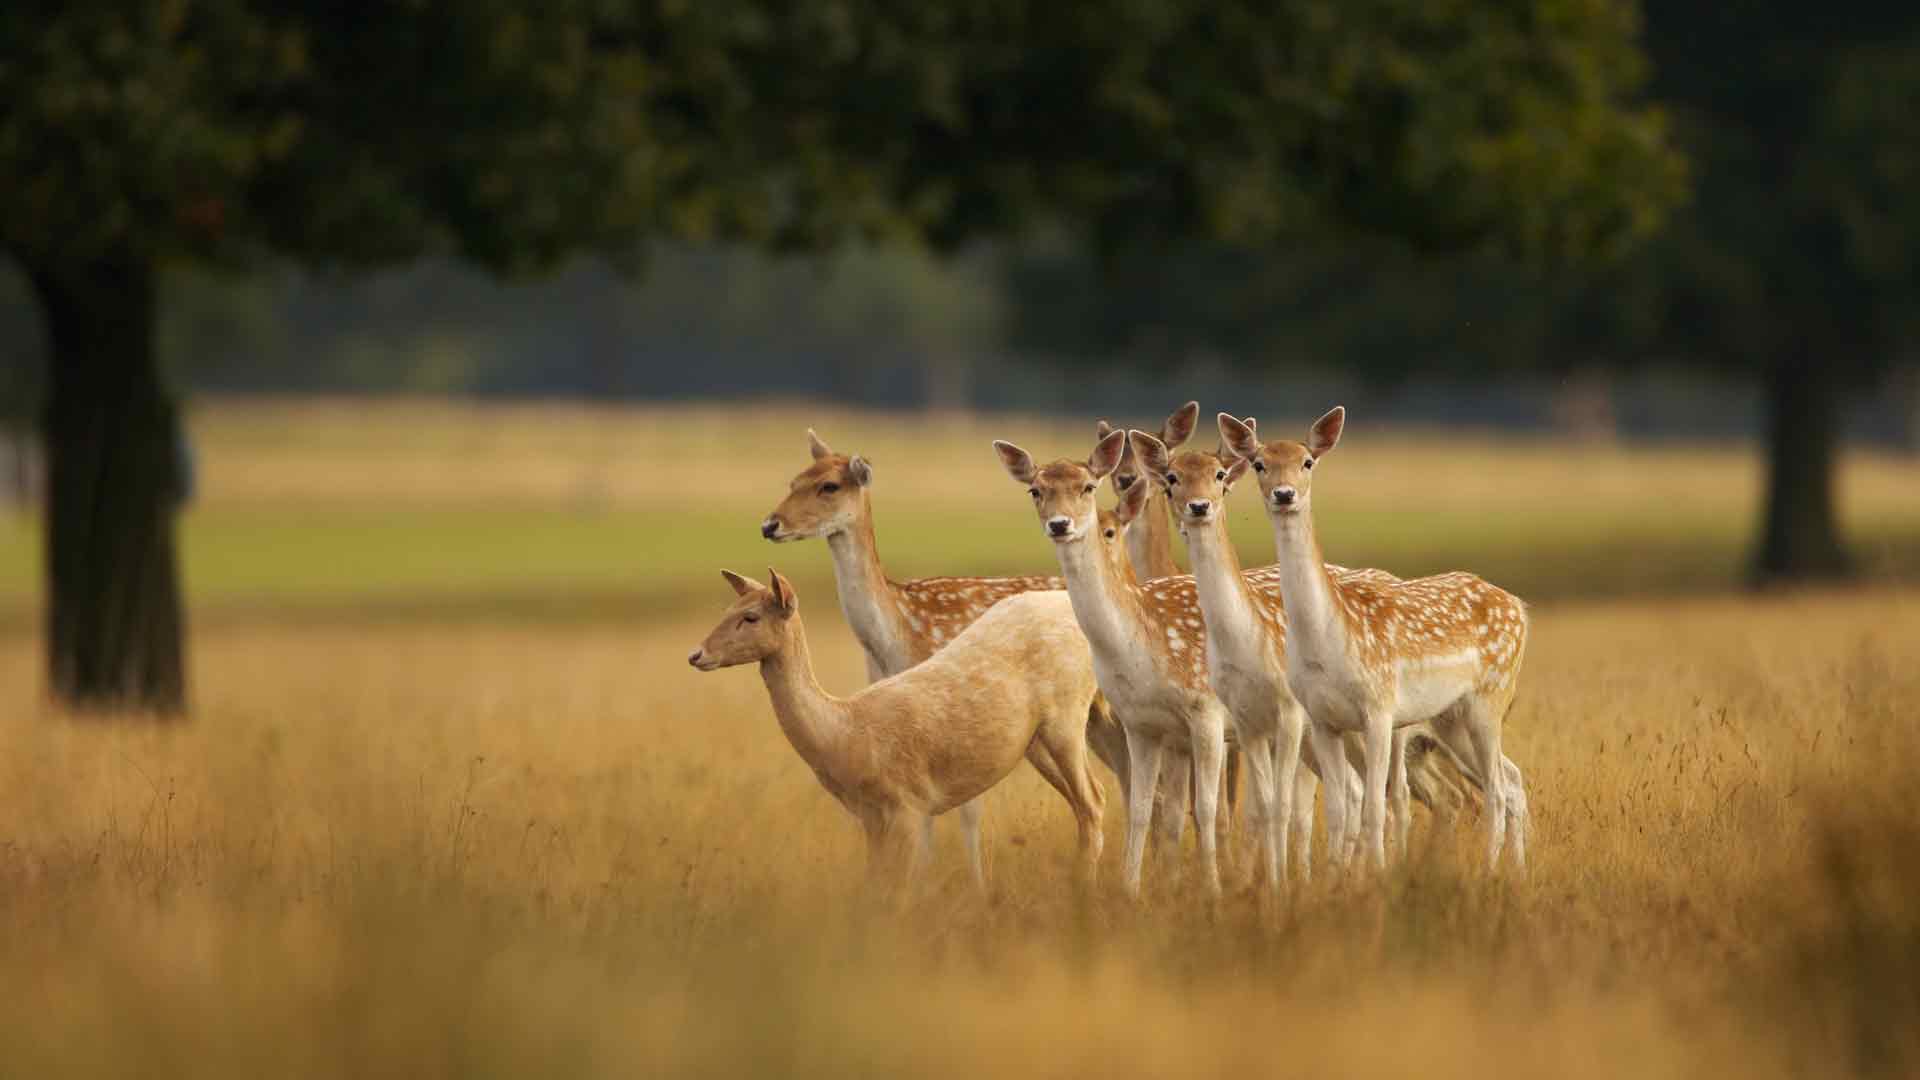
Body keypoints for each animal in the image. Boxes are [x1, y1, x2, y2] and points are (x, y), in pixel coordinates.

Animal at [688, 569, 1105, 889]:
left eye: (751, 617)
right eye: (728, 609)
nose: (696, 654)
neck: (845, 735)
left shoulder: (908, 804)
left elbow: (899, 893)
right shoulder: (870, 817)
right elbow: (875, 886)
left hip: (1067, 715)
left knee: (1093, 799)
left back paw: (1082, 890)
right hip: (1035, 740)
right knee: (1084, 803)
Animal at [1219, 408, 1531, 872]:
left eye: (1307, 461)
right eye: (1259, 463)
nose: (1284, 494)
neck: (1330, 640)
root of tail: (1519, 607)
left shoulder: (1380, 707)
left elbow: (1373, 806)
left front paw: (1377, 874)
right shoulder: (1322, 719)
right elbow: (1337, 808)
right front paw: (1337, 876)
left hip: (1490, 697)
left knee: (1494, 788)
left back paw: (1491, 870)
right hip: (1451, 716)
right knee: (1510, 780)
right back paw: (1517, 870)